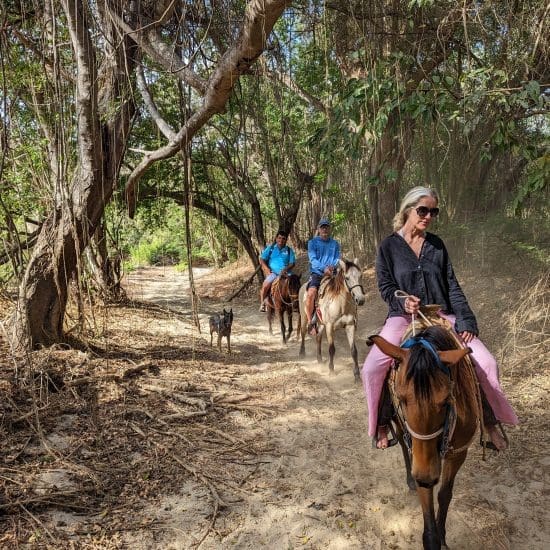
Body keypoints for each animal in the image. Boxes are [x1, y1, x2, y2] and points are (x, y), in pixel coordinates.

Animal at [370, 328, 484, 550]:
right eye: (401, 398)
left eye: (447, 400)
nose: (424, 477)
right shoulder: (420, 458)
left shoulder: (457, 454)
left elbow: (445, 495)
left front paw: (443, 537)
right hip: (399, 427)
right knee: (402, 445)